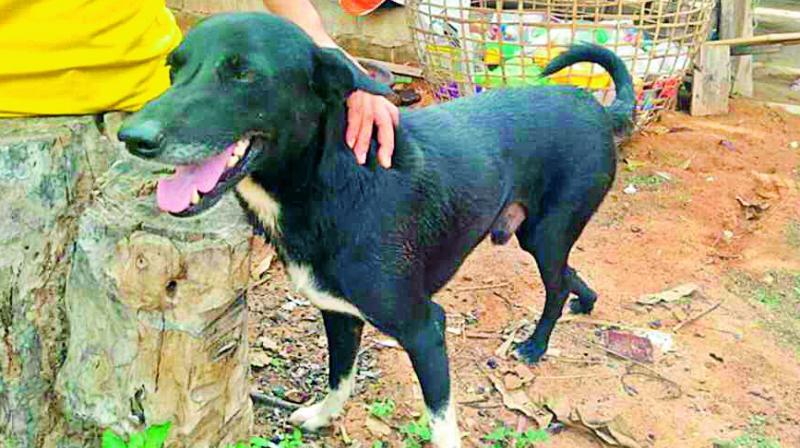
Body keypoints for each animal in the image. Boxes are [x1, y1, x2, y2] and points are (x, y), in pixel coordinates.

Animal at [119, 12, 636, 446]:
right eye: (173, 68)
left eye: (243, 73)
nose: (133, 137)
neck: (328, 185)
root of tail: (596, 108)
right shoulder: (337, 312)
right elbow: (340, 374)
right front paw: (324, 414)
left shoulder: (425, 327)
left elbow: (441, 420)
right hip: (539, 235)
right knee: (569, 274)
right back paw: (586, 302)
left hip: (547, 232)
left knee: (556, 284)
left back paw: (536, 343)